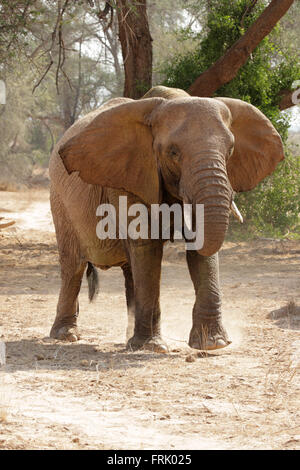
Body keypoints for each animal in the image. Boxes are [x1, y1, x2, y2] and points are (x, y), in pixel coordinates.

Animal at [48, 84, 284, 350]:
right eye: (173, 152)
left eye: (231, 150)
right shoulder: (129, 177)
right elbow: (146, 245)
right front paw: (153, 347)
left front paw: (213, 344)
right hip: (60, 202)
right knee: (73, 266)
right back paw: (66, 335)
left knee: (130, 269)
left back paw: (128, 340)